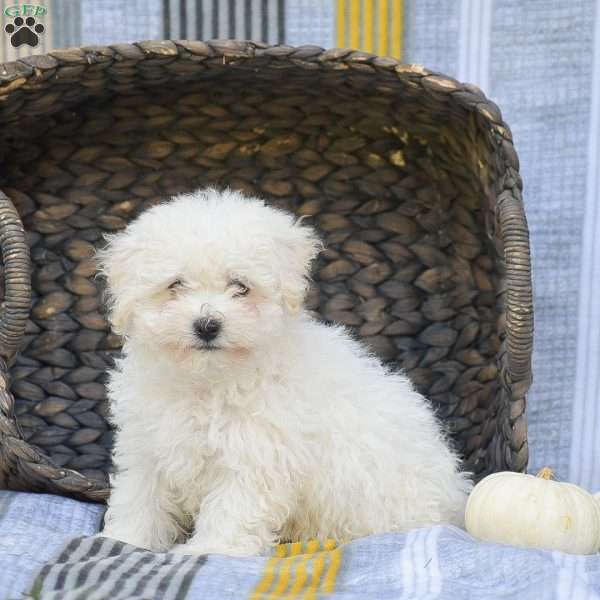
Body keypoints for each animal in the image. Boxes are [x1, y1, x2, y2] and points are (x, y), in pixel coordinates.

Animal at [98, 189, 472, 556]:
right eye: (175, 285)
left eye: (241, 286)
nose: (207, 325)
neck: (208, 381)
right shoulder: (148, 447)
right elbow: (140, 498)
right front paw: (124, 538)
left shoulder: (256, 455)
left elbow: (232, 508)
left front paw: (212, 549)